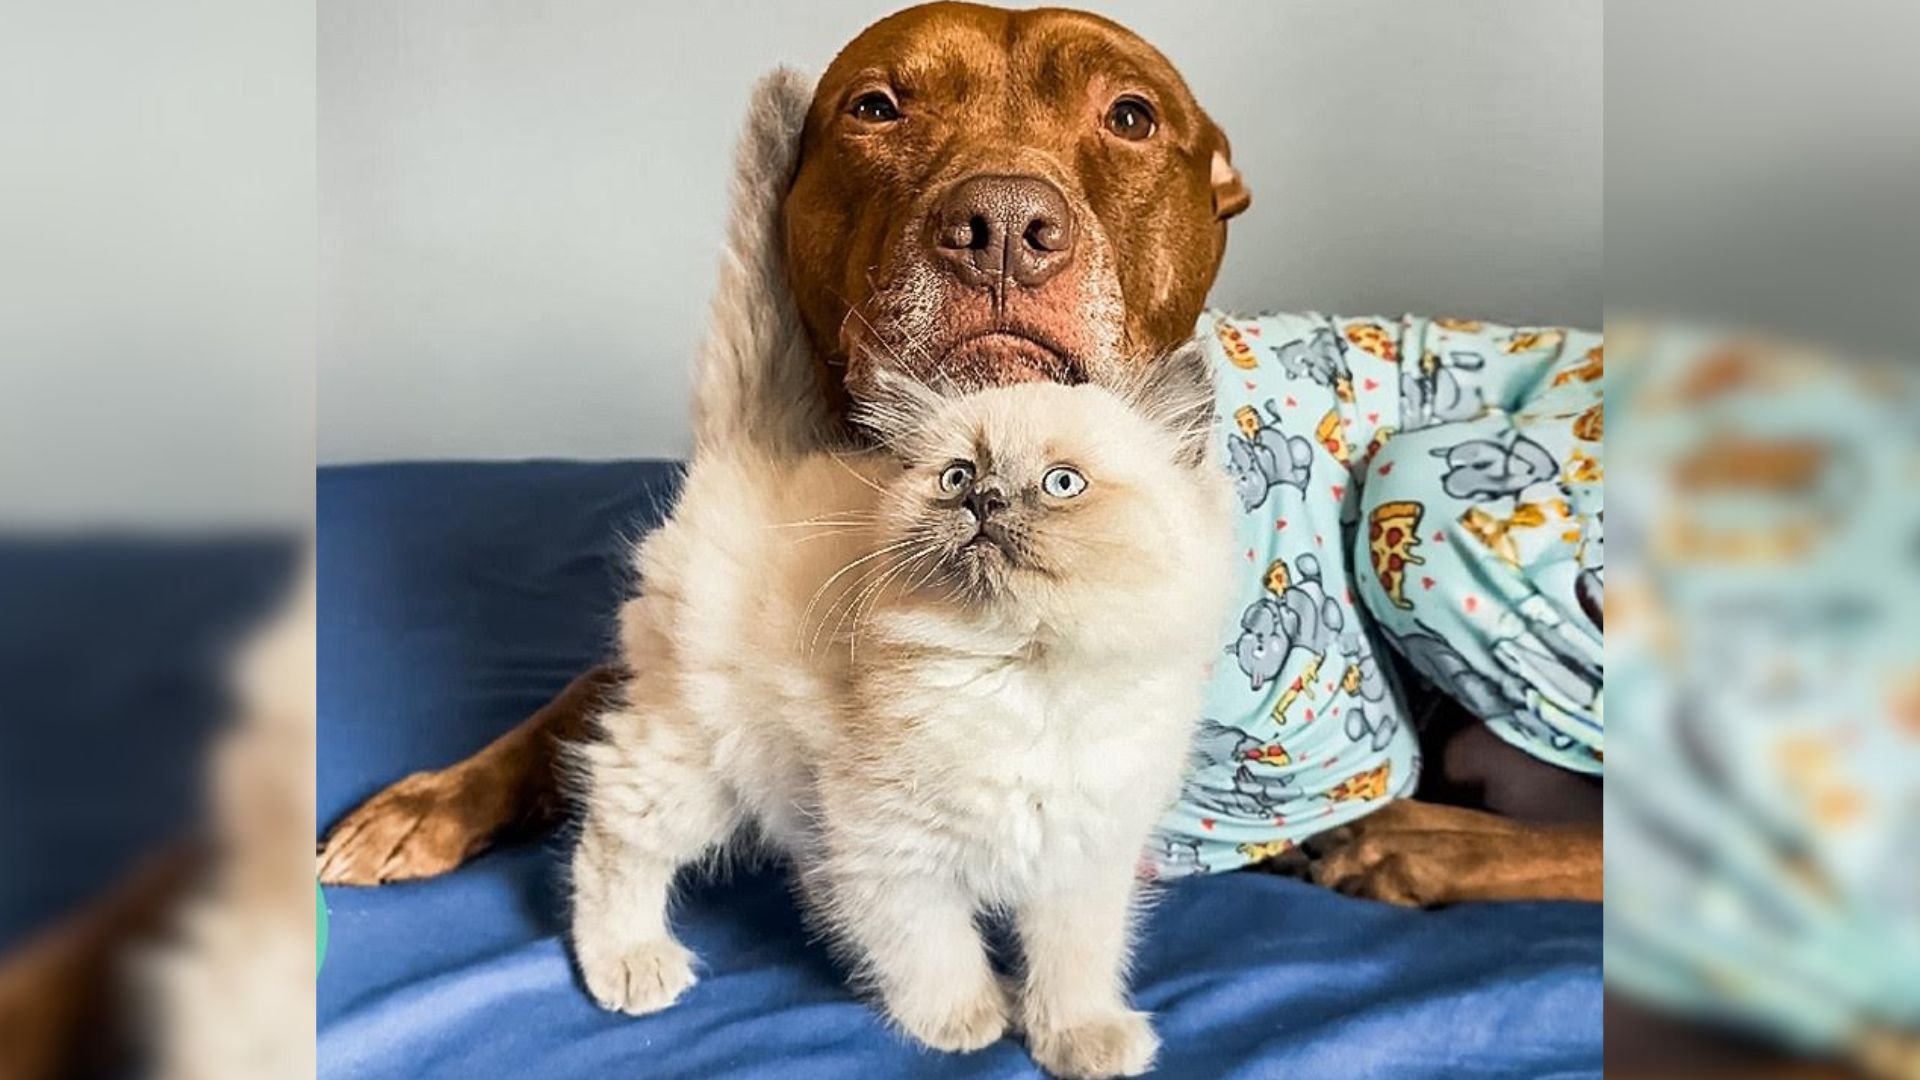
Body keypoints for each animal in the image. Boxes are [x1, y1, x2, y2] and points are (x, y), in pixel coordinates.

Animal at [318, 0, 1605, 903]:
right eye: (876, 108)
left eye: (1132, 117)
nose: (1002, 225)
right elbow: (594, 686)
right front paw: (435, 799)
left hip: (1424, 488)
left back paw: (1417, 847)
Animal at [568, 345, 1228, 1076]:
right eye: (957, 475)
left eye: (1062, 484)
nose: (983, 499)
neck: (1026, 680)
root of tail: (744, 458)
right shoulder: (892, 846)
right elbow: (933, 947)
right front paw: (966, 1021)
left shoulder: (1083, 856)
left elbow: (1074, 962)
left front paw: (1080, 1038)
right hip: (695, 763)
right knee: (610, 833)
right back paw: (630, 963)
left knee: (812, 869)